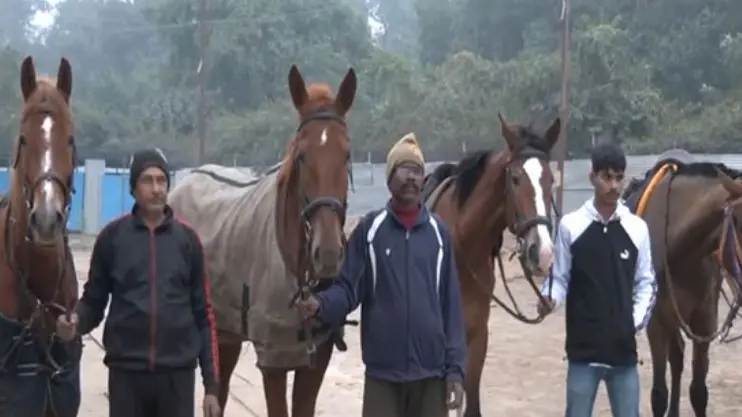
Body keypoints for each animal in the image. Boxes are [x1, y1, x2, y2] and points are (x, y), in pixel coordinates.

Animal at [168, 65, 356, 417]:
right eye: (301, 156)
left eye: (347, 155)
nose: (327, 254)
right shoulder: (273, 361)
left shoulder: (316, 358)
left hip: (225, 332)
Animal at [421, 114, 560, 417]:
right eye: (516, 178)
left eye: (551, 179)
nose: (542, 252)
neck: (461, 242)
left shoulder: (477, 335)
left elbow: (470, 403)